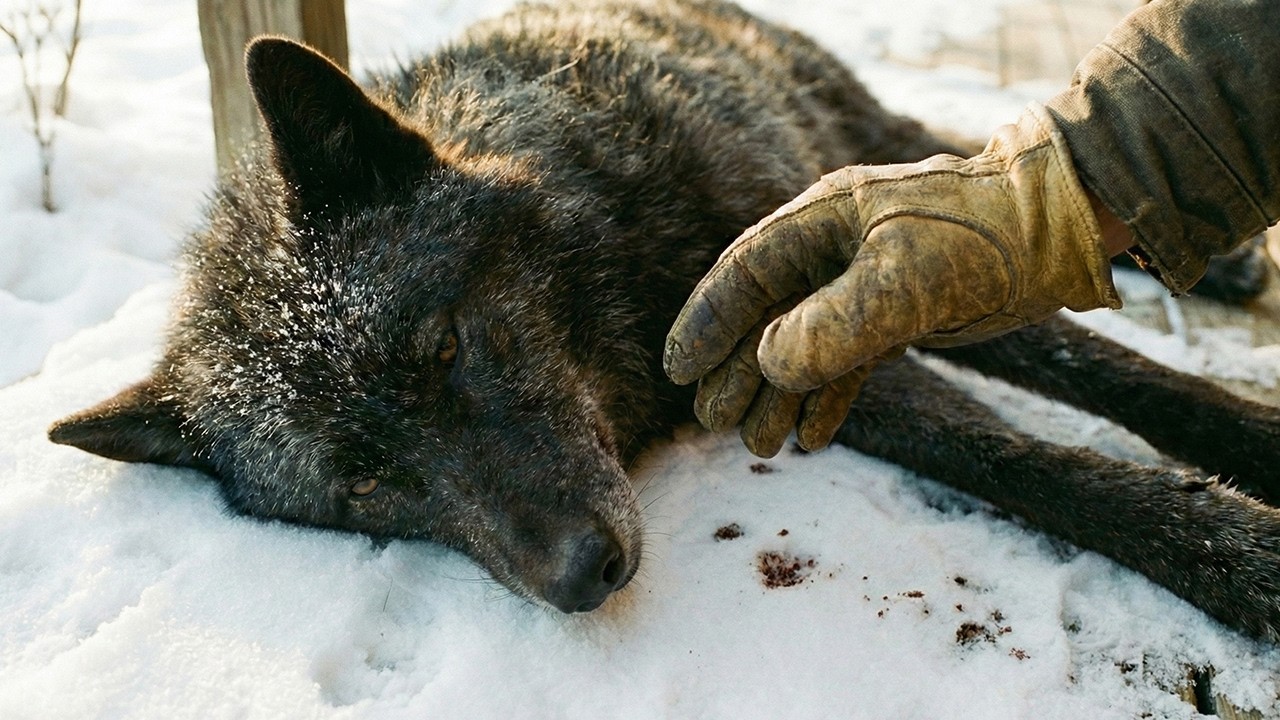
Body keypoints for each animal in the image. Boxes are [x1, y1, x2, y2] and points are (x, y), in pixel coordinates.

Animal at [48, 0, 1280, 635]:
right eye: (362, 485)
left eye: (442, 348)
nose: (578, 578)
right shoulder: (811, 356)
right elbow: (1007, 450)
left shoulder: (842, 266)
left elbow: (1096, 392)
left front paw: (1243, 522)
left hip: (854, 129)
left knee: (965, 155)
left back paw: (1213, 265)